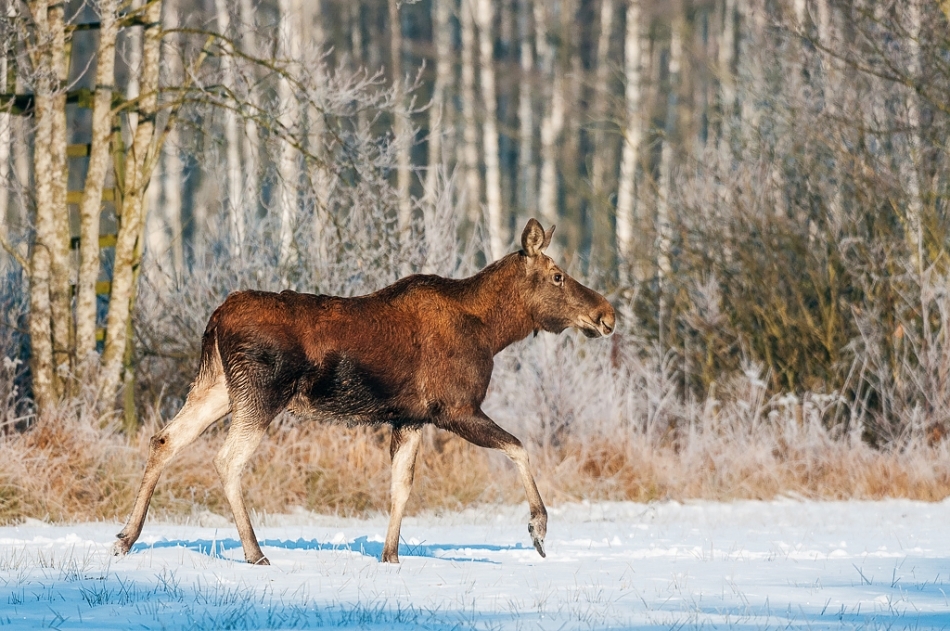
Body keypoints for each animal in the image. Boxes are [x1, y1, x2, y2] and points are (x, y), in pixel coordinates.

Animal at [112, 219, 616, 565]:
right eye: (557, 275)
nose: (607, 314)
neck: (494, 331)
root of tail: (215, 318)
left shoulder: (410, 417)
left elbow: (400, 488)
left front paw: (390, 556)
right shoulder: (455, 408)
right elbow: (518, 448)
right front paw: (538, 529)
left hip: (217, 387)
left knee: (166, 439)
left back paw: (126, 538)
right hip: (260, 393)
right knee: (226, 460)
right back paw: (254, 552)